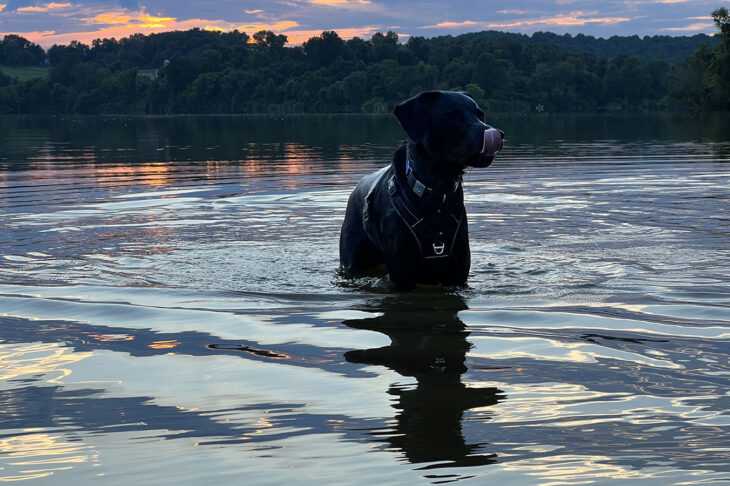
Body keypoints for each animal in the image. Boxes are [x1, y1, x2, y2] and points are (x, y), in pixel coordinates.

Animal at [340, 90, 500, 286]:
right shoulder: (402, 270)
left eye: (480, 114)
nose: (497, 134)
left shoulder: (458, 270)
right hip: (351, 259)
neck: (438, 191)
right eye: (452, 114)